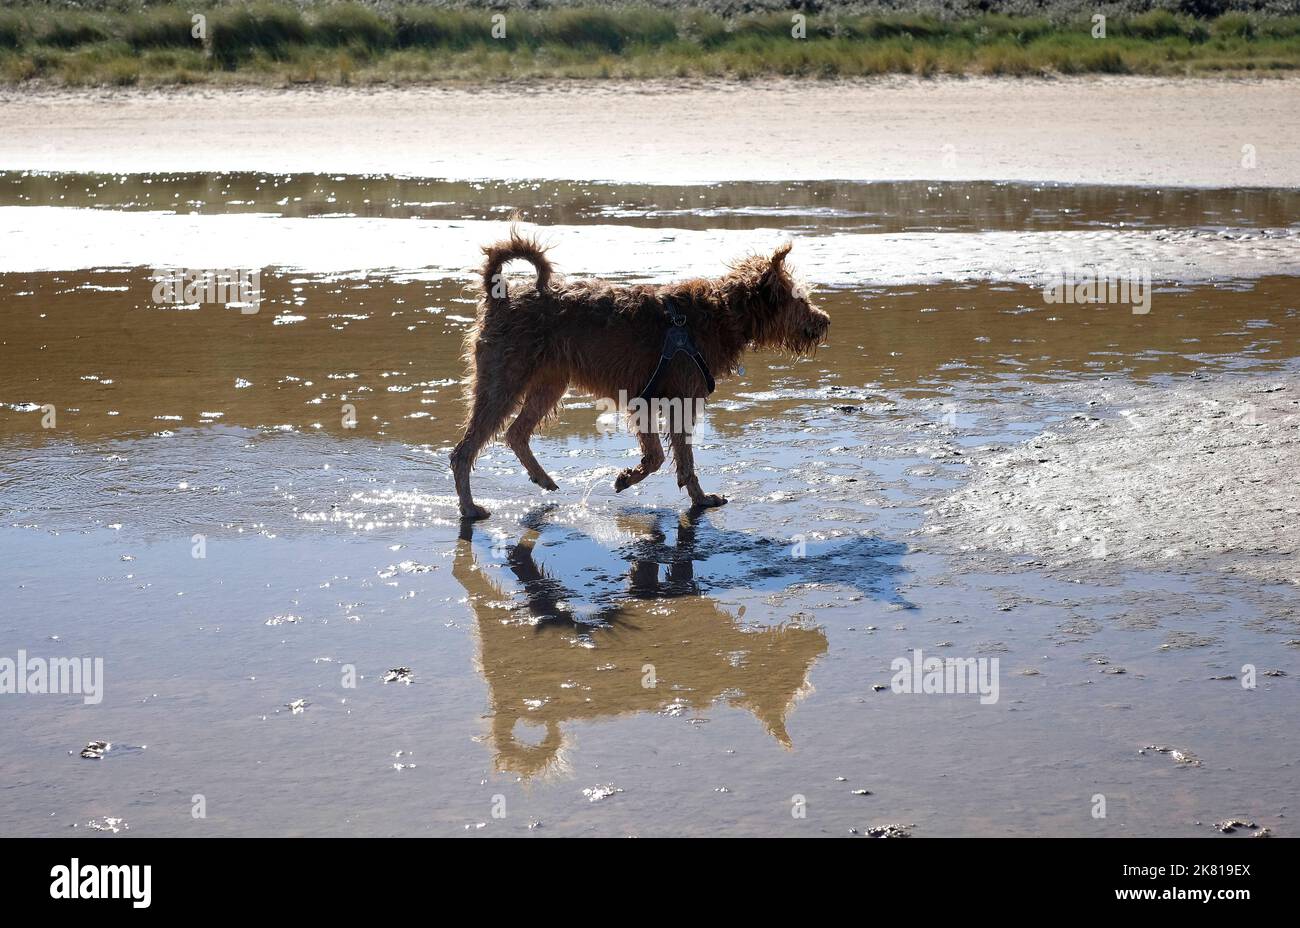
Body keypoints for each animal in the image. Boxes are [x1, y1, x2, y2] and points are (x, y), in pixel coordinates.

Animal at [452, 230, 826, 519]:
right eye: (800, 299)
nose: (825, 321)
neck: (722, 313)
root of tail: (500, 298)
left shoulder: (667, 400)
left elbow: (679, 458)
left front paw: (699, 498)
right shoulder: (659, 399)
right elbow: (662, 456)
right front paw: (628, 479)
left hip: (549, 383)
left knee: (516, 433)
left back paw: (542, 479)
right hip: (503, 380)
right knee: (464, 451)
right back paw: (470, 507)